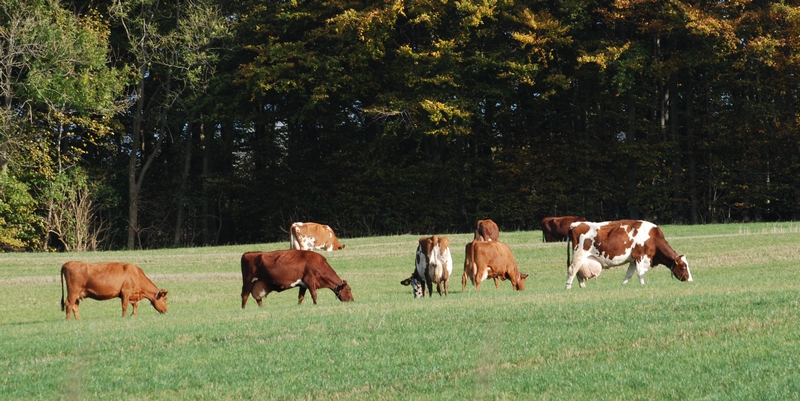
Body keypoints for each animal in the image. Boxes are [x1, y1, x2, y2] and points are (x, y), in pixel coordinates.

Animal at [564, 219, 692, 288]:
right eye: (683, 266)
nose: (690, 280)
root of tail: (575, 224)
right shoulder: (639, 256)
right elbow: (640, 274)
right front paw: (643, 286)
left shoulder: (633, 260)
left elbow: (628, 275)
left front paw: (623, 285)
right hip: (579, 254)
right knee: (572, 270)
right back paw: (568, 287)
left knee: (578, 272)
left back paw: (582, 286)